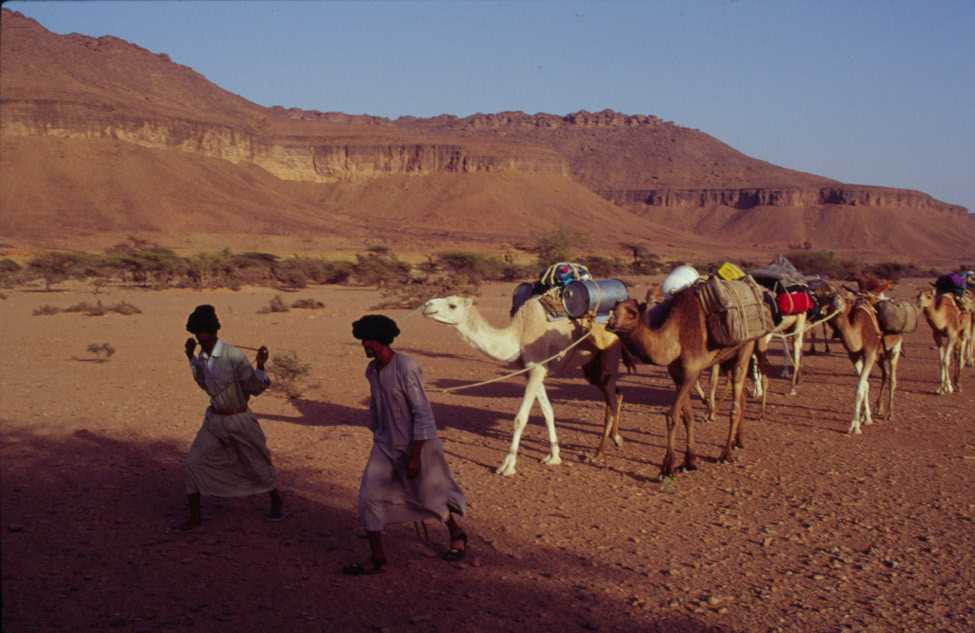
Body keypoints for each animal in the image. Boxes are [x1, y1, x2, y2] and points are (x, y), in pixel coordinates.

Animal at [422, 296, 624, 474]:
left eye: (452, 305)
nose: (426, 305)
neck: (519, 335)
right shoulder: (532, 372)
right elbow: (548, 412)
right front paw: (554, 457)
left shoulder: (537, 368)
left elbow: (520, 419)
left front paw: (507, 466)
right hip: (592, 366)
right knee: (616, 395)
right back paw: (615, 439)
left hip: (608, 355)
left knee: (612, 398)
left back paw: (605, 448)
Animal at [608, 292, 768, 478]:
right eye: (614, 309)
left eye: (632, 313)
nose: (611, 324)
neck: (674, 339)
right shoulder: (677, 376)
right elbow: (688, 417)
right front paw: (689, 461)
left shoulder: (691, 373)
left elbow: (672, 415)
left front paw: (667, 467)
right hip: (728, 357)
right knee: (741, 397)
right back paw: (739, 441)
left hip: (746, 347)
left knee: (735, 405)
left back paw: (725, 454)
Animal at [832, 292, 908, 432]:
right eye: (830, 298)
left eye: (846, 299)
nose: (836, 300)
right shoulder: (854, 356)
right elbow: (865, 384)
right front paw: (865, 418)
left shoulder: (870, 354)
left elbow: (860, 387)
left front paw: (855, 426)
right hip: (880, 356)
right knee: (885, 374)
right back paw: (879, 408)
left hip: (895, 348)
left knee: (892, 379)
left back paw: (890, 414)